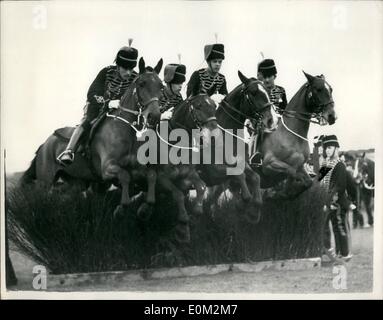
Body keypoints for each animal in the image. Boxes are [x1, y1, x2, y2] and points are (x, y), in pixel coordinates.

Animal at [20, 58, 165, 212]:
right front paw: (122, 207)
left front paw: (146, 206)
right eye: (142, 83)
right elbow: (125, 176)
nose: (154, 116)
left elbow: (151, 176)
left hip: (75, 182)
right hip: (45, 181)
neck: (125, 130)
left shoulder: (138, 168)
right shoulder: (107, 168)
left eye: (161, 86)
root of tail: (44, 144)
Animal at [198, 70, 280, 221]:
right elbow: (238, 177)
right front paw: (244, 203)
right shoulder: (216, 170)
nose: (272, 120)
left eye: (267, 90)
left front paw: (254, 210)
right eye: (253, 92)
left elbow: (255, 177)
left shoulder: (242, 164)